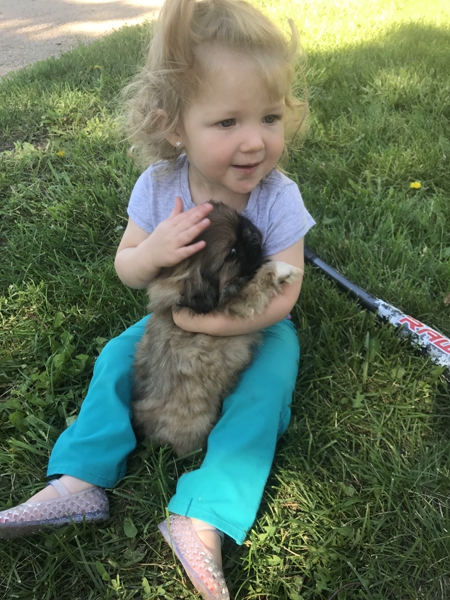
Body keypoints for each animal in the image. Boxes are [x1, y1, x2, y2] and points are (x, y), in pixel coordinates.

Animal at [133, 202, 302, 454]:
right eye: (231, 253)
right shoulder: (237, 304)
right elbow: (257, 284)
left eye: (241, 221)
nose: (254, 236)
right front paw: (281, 269)